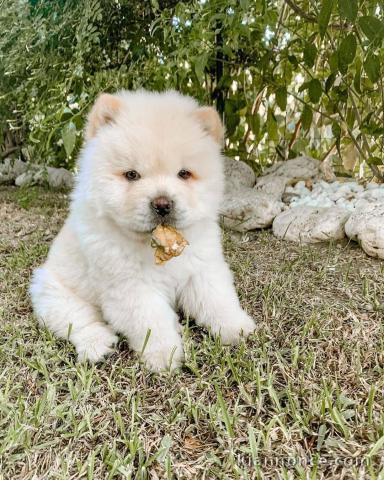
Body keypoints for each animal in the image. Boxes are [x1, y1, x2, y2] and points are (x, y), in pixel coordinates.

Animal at [30, 90, 256, 370]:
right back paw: (98, 346)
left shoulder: (202, 269)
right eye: (131, 175)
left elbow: (217, 300)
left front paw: (238, 329)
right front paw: (164, 356)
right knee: (80, 321)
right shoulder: (130, 288)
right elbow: (151, 322)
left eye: (184, 174)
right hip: (51, 292)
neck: (157, 248)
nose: (162, 204)